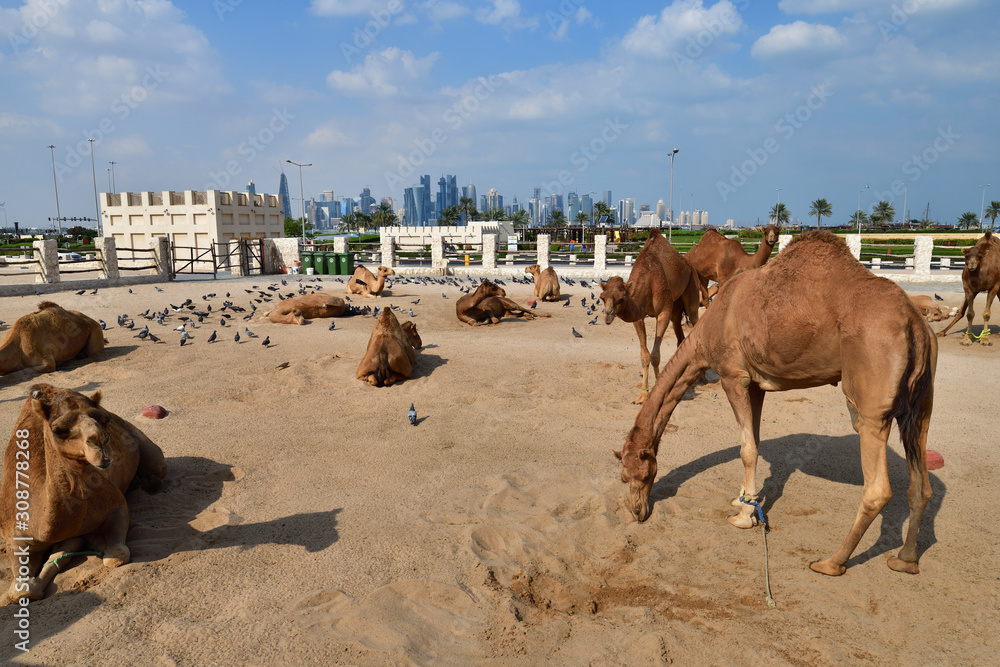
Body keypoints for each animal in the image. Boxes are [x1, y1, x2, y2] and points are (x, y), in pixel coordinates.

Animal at [1, 384, 168, 602]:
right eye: (58, 429)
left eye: (104, 419)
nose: (101, 443)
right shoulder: (14, 536)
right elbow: (19, 590)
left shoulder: (115, 505)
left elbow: (116, 556)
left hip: (146, 446)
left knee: (157, 469)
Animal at [599, 229, 702, 404]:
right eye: (602, 297)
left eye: (622, 298)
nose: (608, 316)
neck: (648, 276)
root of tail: (687, 262)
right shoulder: (639, 316)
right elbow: (644, 356)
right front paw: (641, 396)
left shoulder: (663, 312)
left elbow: (655, 356)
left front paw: (657, 391)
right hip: (676, 303)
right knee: (679, 333)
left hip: (691, 286)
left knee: (695, 317)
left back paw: (703, 377)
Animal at [615, 231, 936, 577]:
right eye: (624, 478)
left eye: (641, 475)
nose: (637, 512)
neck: (706, 333)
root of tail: (915, 323)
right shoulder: (757, 384)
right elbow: (753, 441)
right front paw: (744, 500)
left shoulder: (733, 376)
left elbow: (747, 449)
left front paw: (743, 517)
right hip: (921, 405)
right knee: (921, 483)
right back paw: (905, 559)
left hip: (870, 397)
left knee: (877, 487)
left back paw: (830, 562)